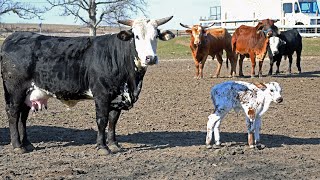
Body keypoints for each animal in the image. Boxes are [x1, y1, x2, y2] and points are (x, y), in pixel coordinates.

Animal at [0, 16, 175, 155]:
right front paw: (103, 147)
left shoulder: (117, 97)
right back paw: (17, 146)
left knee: (23, 116)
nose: (150, 58)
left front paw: (114, 144)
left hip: (29, 92)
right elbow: (102, 120)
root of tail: (14, 36)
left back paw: (27, 144)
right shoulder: (102, 95)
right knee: (13, 113)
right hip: (15, 90)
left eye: (156, 36)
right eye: (136, 36)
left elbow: (113, 120)